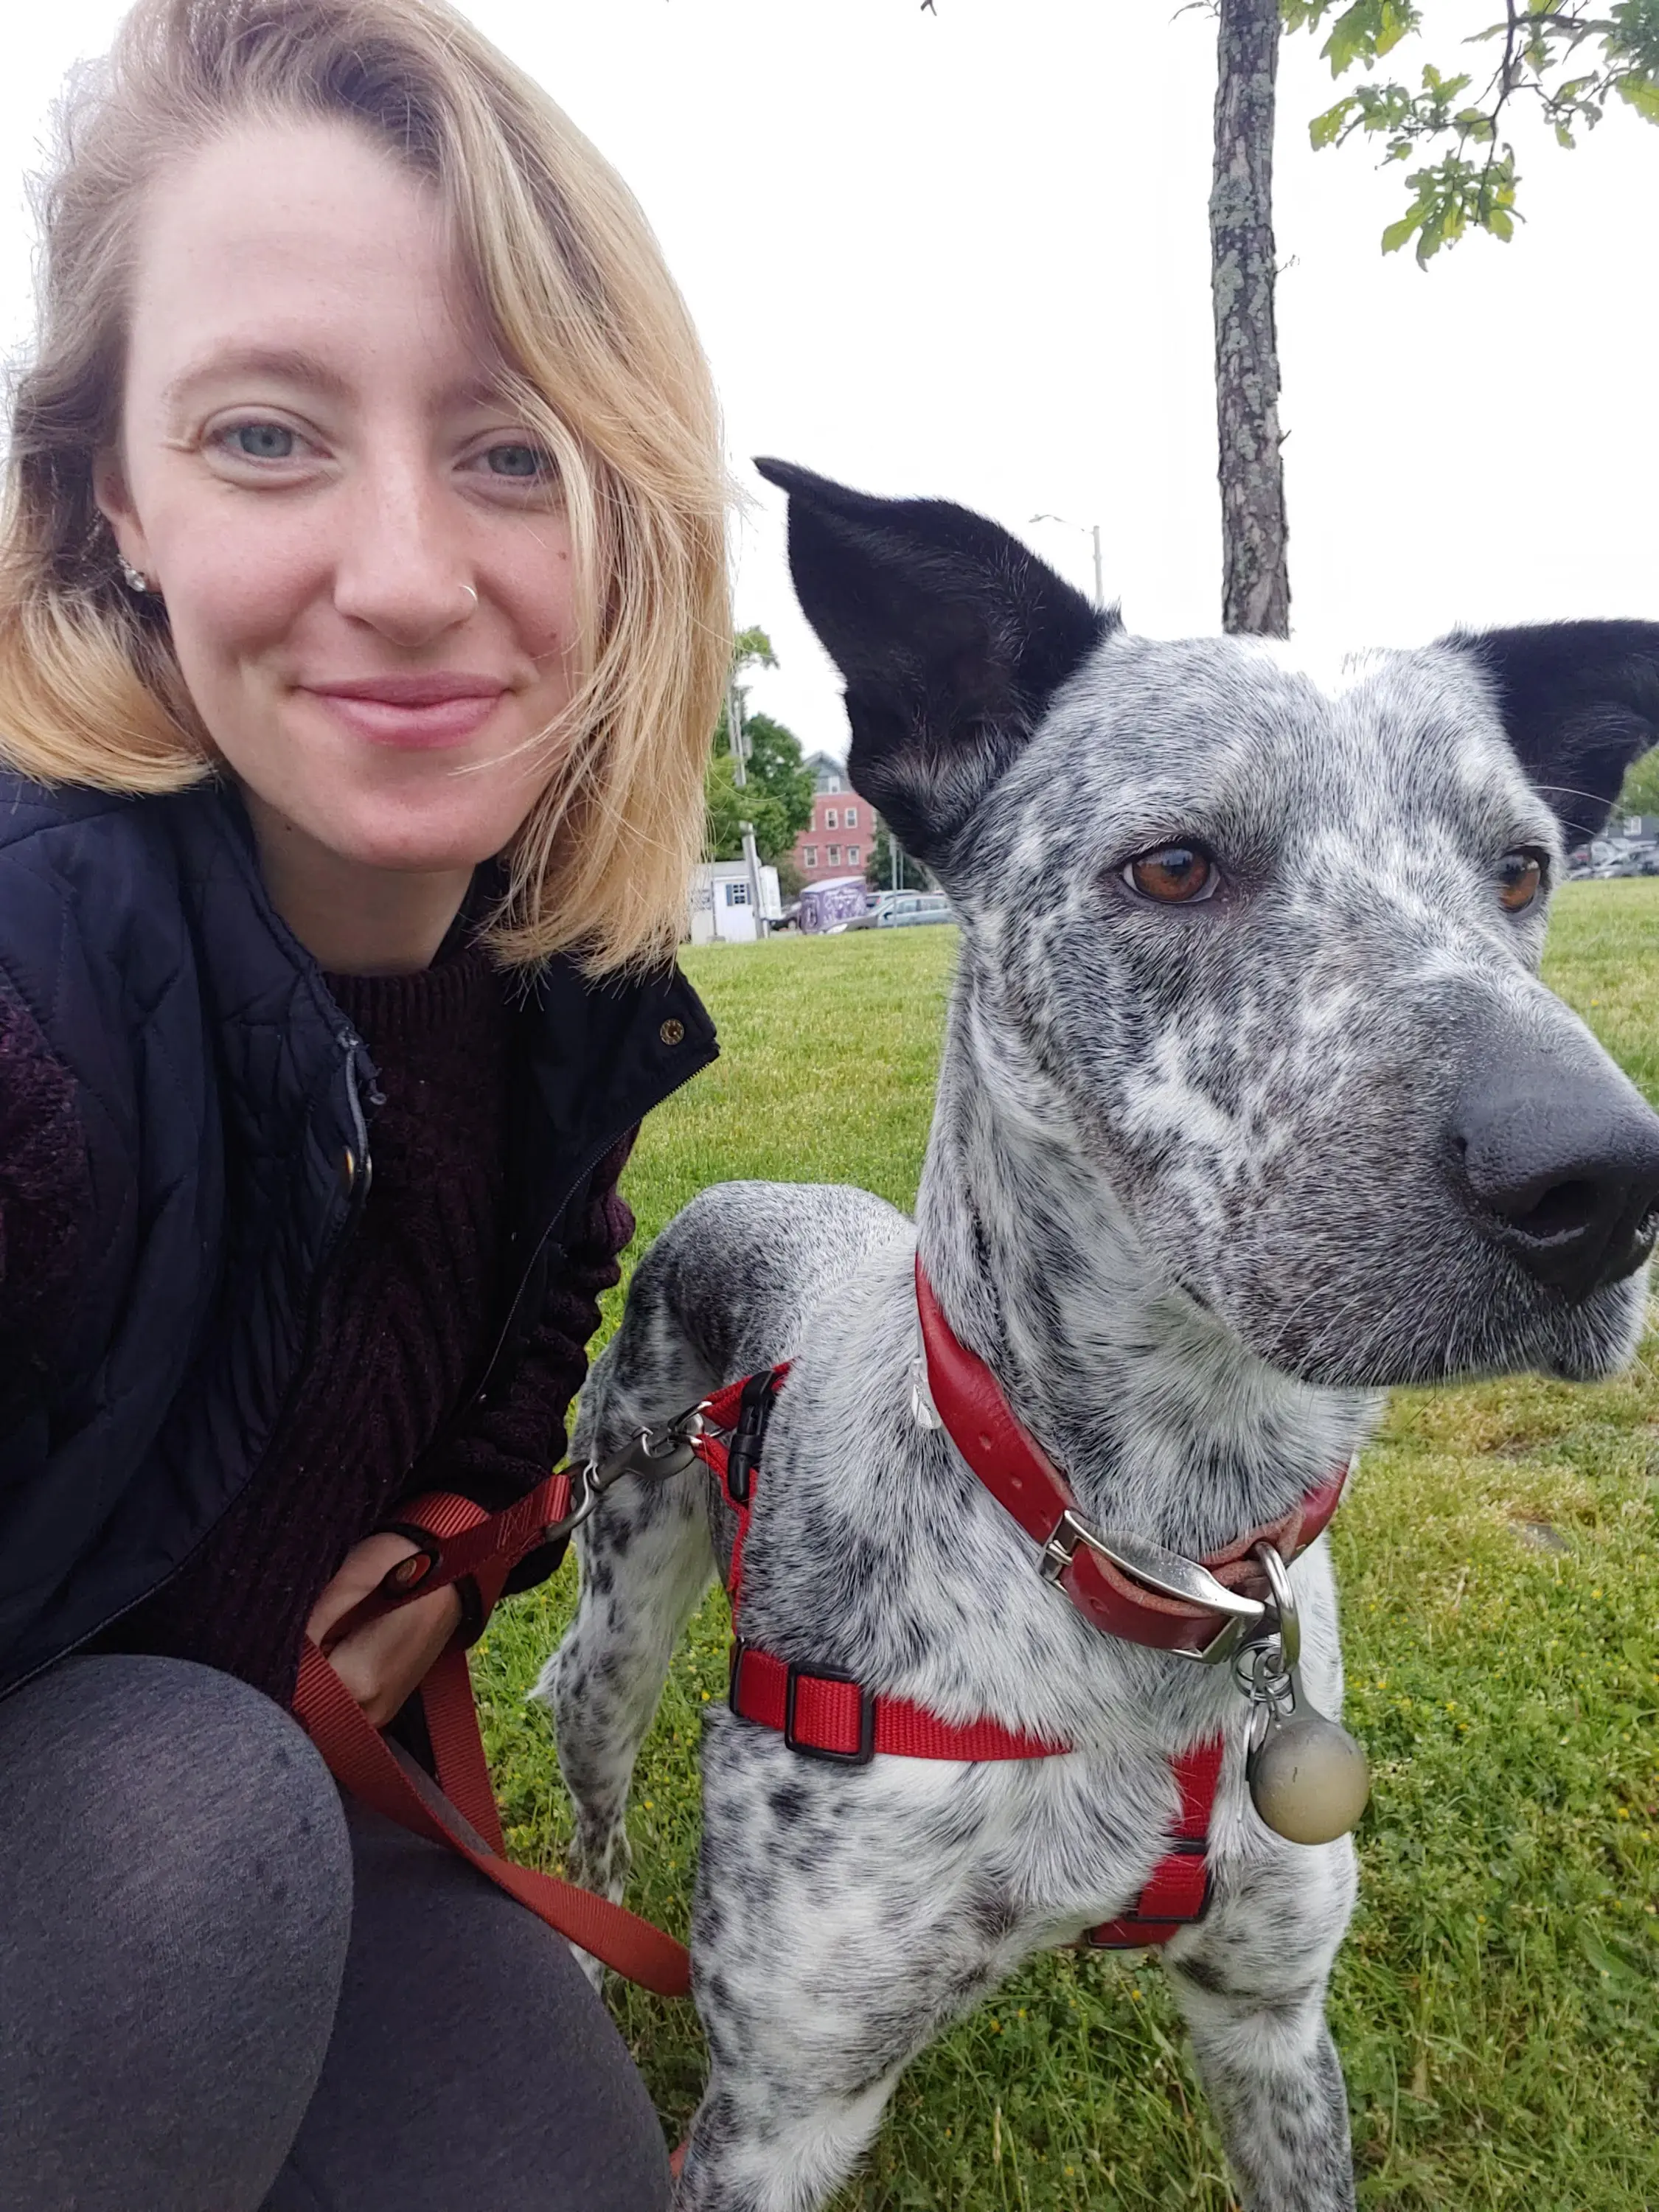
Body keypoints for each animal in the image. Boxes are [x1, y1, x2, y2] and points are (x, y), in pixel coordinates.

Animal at [542, 458, 1659, 2203]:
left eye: (1523, 871)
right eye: (1177, 866)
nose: (1604, 1181)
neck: (1145, 1547)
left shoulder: (1274, 2025)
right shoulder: (777, 2110)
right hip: (615, 1624)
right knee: (591, 1818)